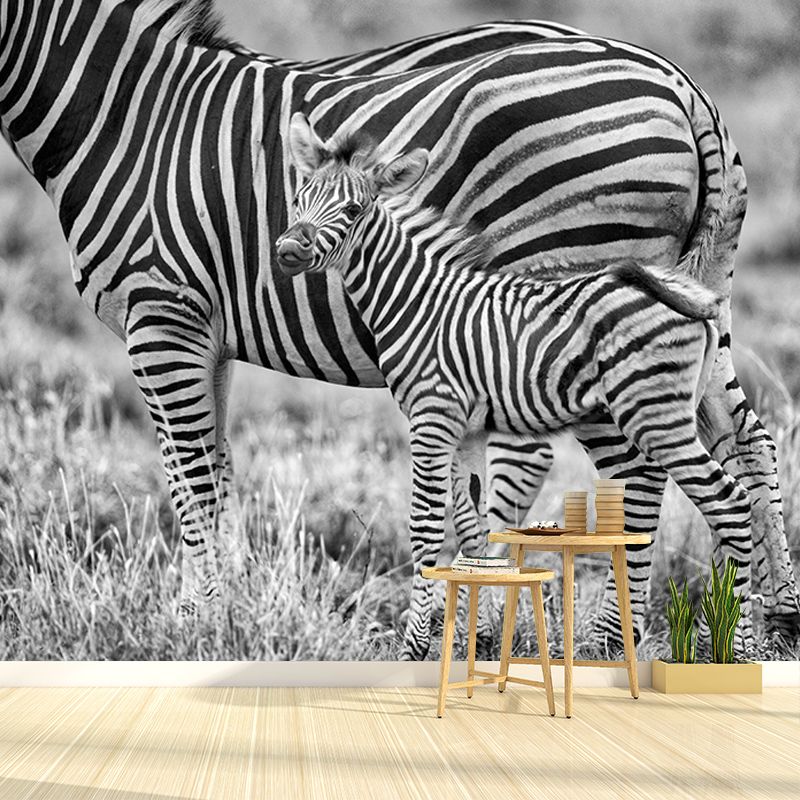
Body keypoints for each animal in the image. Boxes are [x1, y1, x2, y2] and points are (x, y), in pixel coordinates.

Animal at [276, 122, 758, 659]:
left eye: (354, 210)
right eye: (299, 199)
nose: (289, 251)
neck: (415, 300)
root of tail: (678, 292)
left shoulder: (431, 416)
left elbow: (425, 525)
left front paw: (414, 646)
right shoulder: (466, 430)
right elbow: (473, 527)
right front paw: (476, 637)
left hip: (654, 414)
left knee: (729, 502)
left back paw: (736, 645)